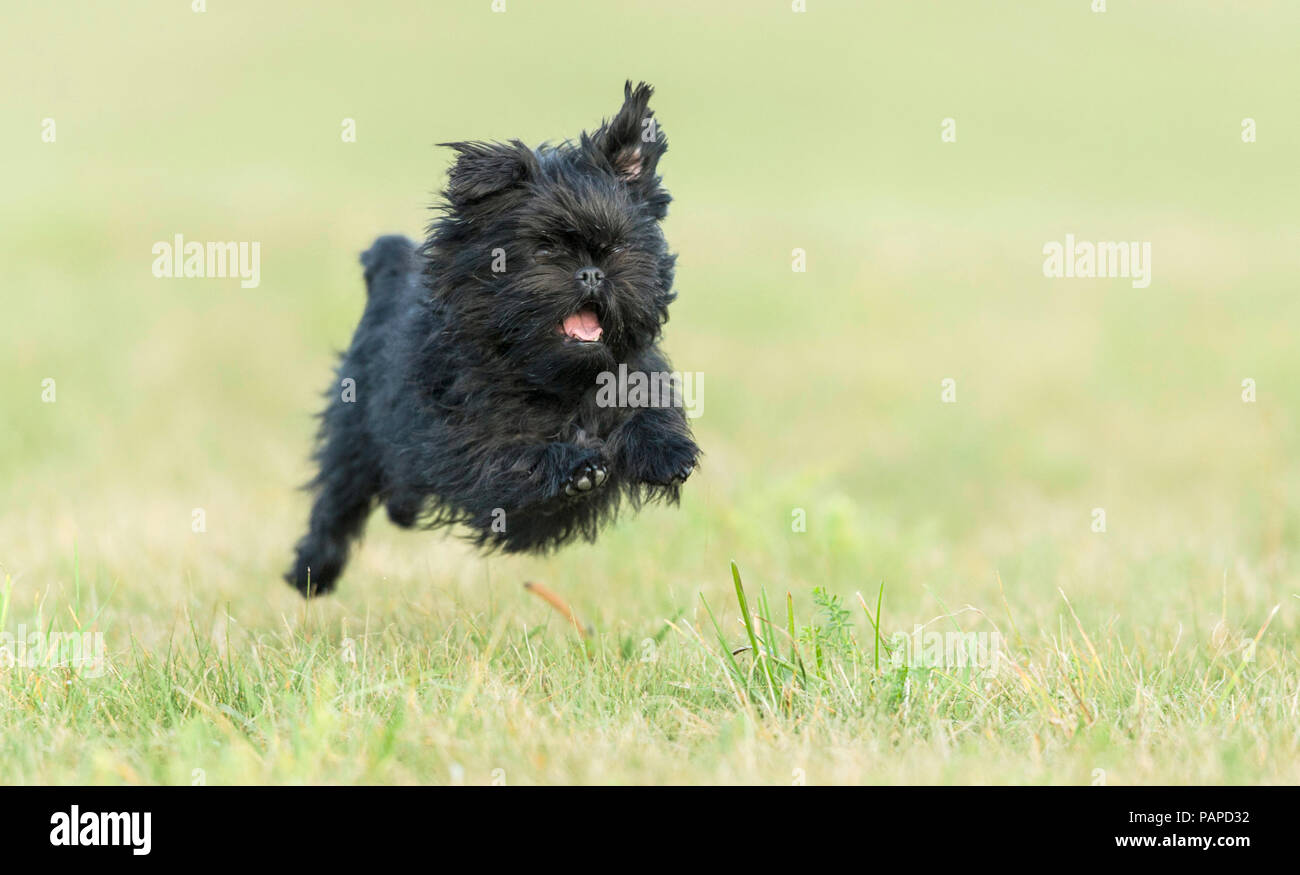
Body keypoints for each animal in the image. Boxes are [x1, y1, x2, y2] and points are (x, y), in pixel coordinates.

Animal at [288, 80, 702, 592]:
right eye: (545, 250)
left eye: (618, 248)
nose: (592, 272)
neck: (558, 380)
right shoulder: (466, 445)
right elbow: (514, 456)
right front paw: (577, 467)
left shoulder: (637, 376)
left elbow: (648, 412)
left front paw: (667, 450)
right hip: (355, 433)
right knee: (338, 500)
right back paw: (312, 571)